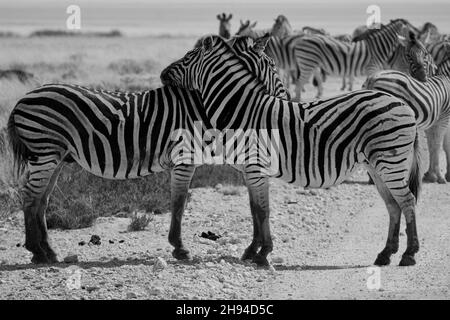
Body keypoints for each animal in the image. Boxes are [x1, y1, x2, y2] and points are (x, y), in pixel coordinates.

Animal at [161, 34, 422, 268]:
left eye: (188, 56)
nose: (162, 74)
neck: (243, 110)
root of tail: (404, 104)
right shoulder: (251, 170)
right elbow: (255, 209)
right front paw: (253, 250)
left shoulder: (255, 167)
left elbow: (262, 210)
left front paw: (263, 253)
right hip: (376, 165)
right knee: (393, 204)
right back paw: (386, 254)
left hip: (390, 161)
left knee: (407, 201)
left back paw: (409, 254)